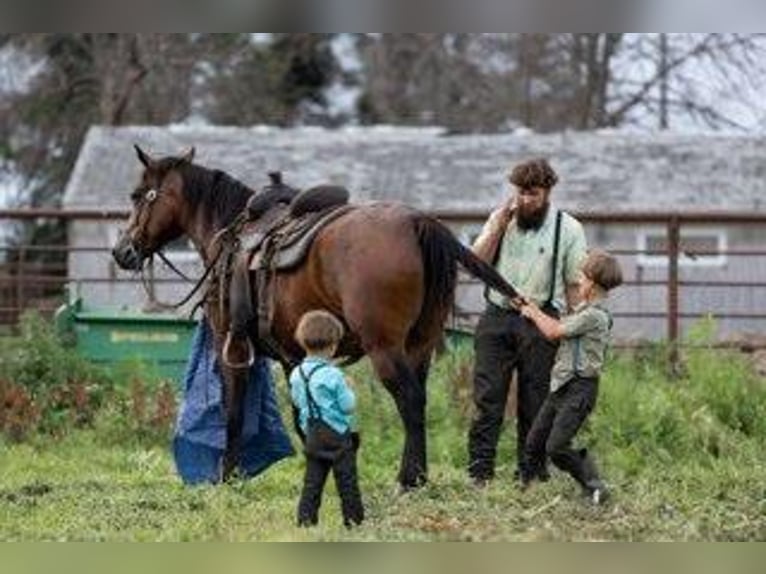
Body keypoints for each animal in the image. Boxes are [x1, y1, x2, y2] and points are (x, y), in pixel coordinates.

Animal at [112, 145, 519, 489]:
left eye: (138, 195)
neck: (230, 236)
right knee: (416, 400)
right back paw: (416, 476)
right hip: (419, 344)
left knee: (410, 400)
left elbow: (234, 414)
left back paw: (408, 479)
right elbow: (304, 414)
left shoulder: (234, 347)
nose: (122, 251)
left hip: (385, 347)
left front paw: (227, 477)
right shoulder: (293, 355)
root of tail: (417, 222)